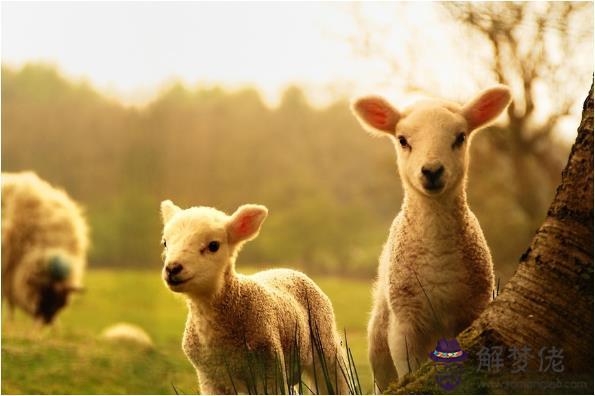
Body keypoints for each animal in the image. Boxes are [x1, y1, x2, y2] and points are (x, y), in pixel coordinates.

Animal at [161, 200, 352, 394]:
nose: (172, 268)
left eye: (213, 245)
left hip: (325, 345)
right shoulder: (210, 378)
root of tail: (289, 269)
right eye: (165, 243)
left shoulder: (270, 370)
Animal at [354, 85, 512, 392]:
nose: (432, 171)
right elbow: (409, 372)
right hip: (379, 345)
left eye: (460, 137)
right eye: (402, 140)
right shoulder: (405, 324)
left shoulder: (471, 311)